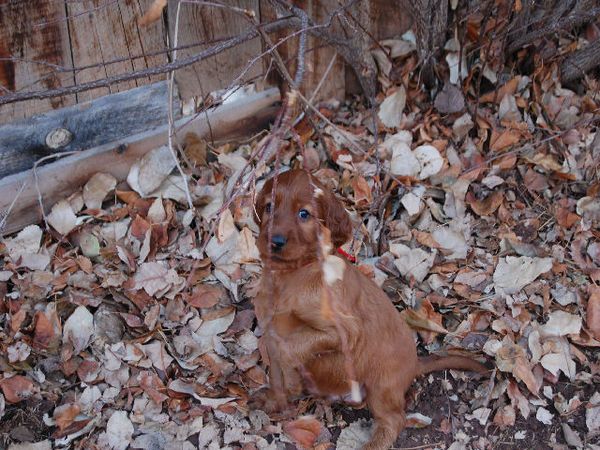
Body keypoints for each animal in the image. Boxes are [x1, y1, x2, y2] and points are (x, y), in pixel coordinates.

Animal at [252, 169, 486, 450]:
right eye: (269, 207)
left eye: (304, 214)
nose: (274, 241)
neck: (290, 276)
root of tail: (415, 364)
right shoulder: (270, 330)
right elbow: (276, 372)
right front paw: (275, 400)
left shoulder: (344, 330)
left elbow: (292, 347)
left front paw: (293, 381)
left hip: (381, 387)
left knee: (394, 419)